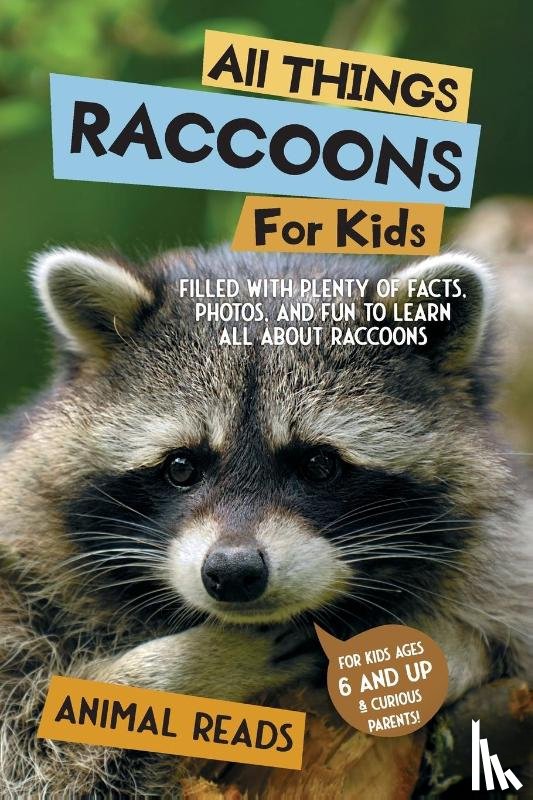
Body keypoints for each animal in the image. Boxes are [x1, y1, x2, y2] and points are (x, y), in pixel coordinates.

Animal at [0, 245, 531, 797]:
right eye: (181, 467)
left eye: (318, 465)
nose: (233, 573)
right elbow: (34, 731)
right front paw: (180, 669)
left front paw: (444, 653)